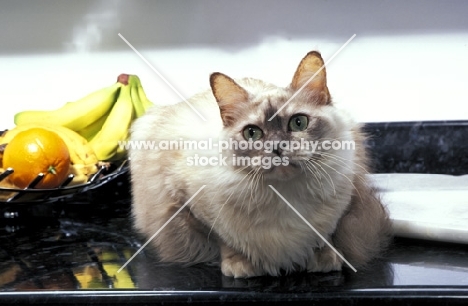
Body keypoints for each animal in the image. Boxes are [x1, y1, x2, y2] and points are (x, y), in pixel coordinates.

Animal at [129, 51, 392, 278]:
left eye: (298, 123)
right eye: (252, 133)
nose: (277, 148)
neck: (285, 198)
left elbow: (326, 235)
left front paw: (323, 258)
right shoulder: (187, 203)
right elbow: (224, 241)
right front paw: (240, 264)